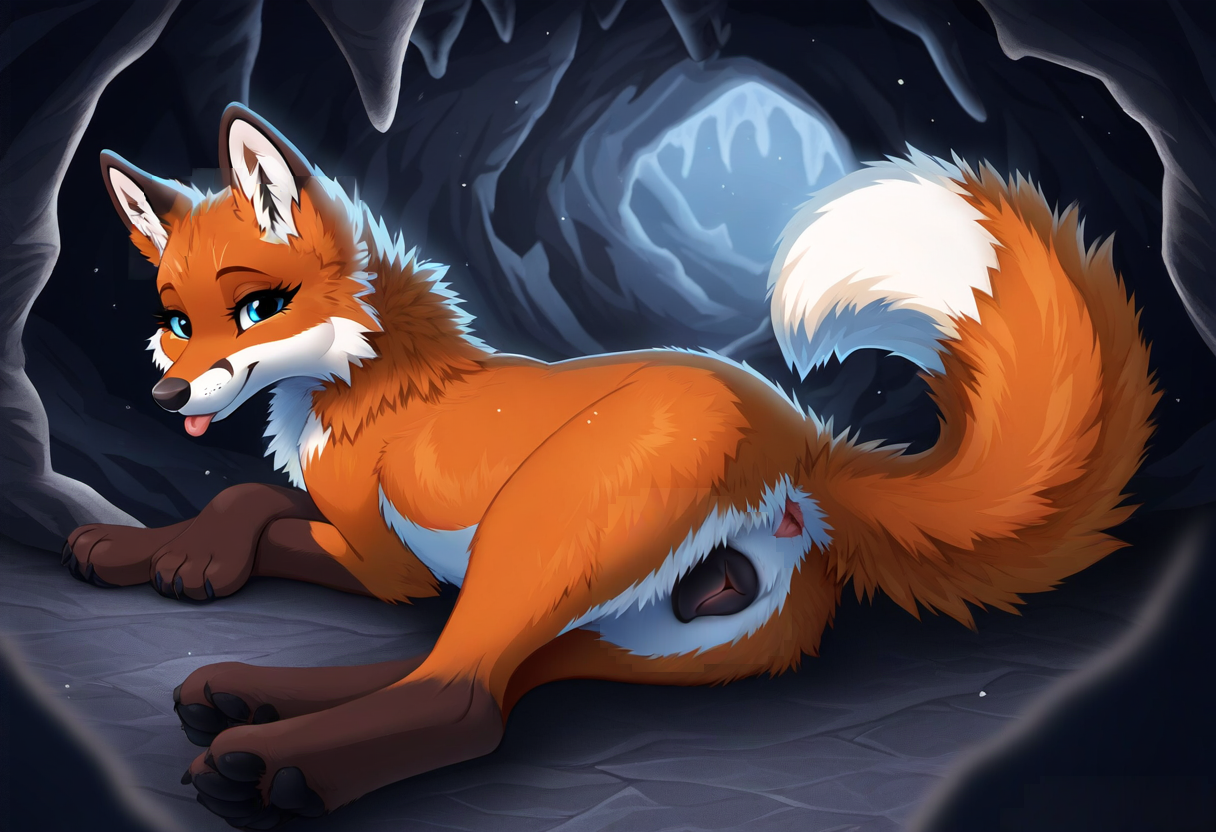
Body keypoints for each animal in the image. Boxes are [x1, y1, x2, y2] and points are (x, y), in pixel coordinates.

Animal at [63, 102, 1157, 827]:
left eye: (258, 307)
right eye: (174, 321)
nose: (168, 400)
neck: (383, 384)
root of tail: (804, 442)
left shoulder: (388, 564)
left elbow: (253, 496)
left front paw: (185, 561)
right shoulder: (380, 560)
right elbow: (249, 504)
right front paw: (146, 553)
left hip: (541, 528)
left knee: (462, 695)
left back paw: (265, 760)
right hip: (636, 619)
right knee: (477, 674)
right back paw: (245, 694)